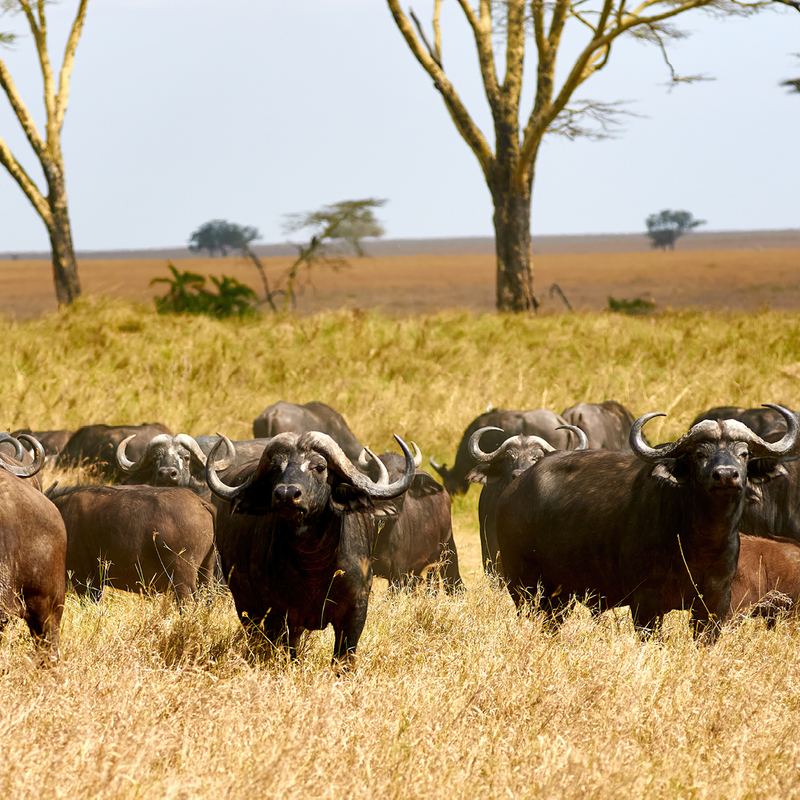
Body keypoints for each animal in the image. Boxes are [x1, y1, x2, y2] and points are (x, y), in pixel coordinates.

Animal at [206, 430, 415, 666]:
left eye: (320, 467)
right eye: (276, 467)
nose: (286, 494)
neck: (313, 565)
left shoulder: (355, 611)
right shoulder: (279, 614)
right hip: (244, 604)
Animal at [496, 405, 798, 639]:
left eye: (744, 453)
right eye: (699, 454)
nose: (725, 475)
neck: (699, 543)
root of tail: (514, 490)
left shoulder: (715, 604)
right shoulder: (646, 604)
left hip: (561, 595)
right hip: (523, 586)